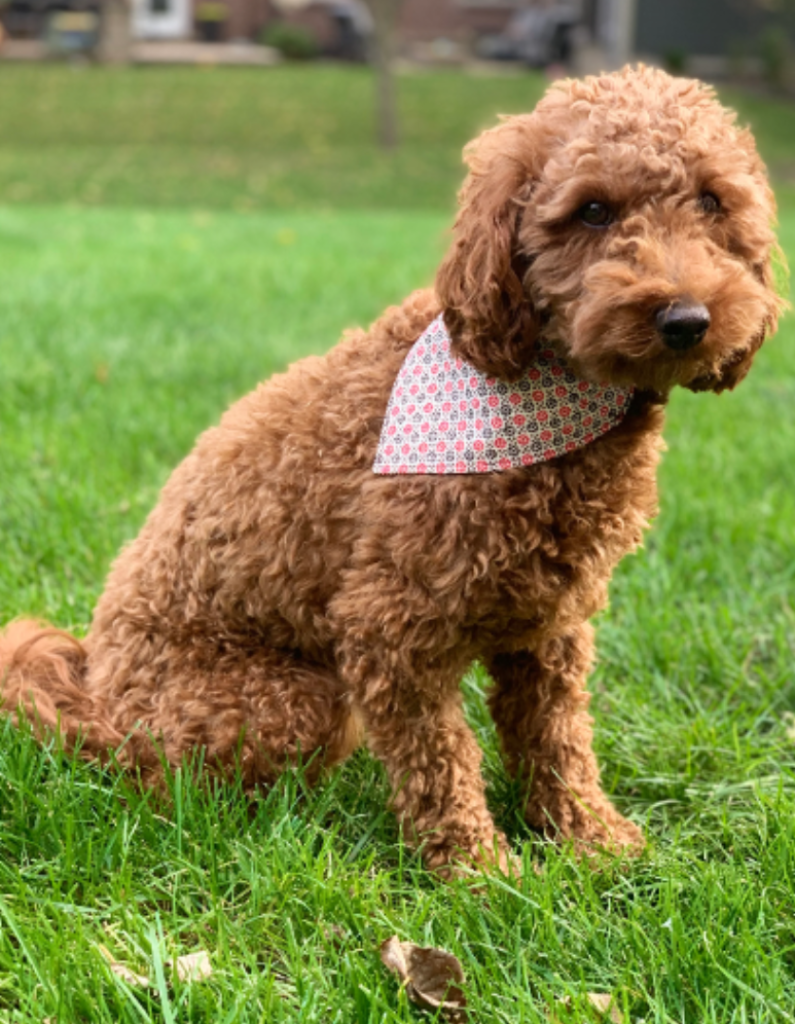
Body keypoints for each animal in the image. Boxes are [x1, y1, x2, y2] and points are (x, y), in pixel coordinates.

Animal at [0, 68, 782, 876]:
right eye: (593, 210)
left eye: (712, 202)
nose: (686, 319)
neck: (549, 392)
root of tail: (98, 705)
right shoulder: (390, 627)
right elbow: (441, 758)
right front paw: (478, 870)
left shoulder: (549, 623)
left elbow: (556, 737)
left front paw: (587, 837)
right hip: (292, 697)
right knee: (180, 795)